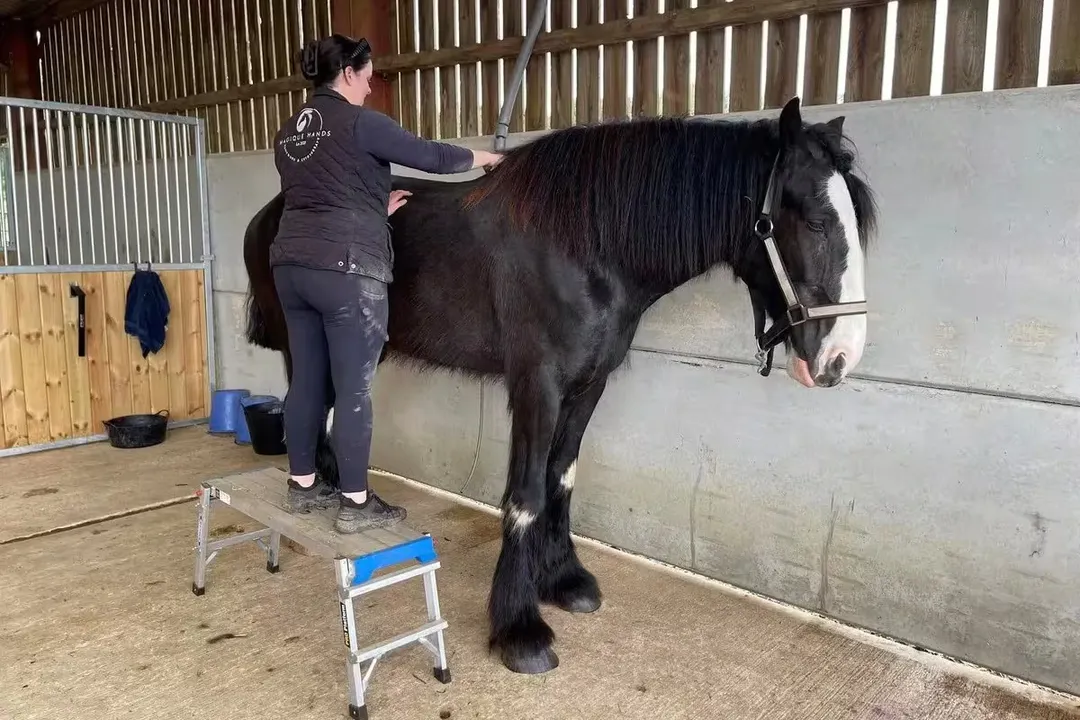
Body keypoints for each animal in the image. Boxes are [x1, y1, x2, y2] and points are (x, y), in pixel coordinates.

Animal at [241, 96, 879, 675]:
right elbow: (525, 493)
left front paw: (564, 580)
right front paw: (519, 627)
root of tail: (267, 213)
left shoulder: (588, 385)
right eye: (815, 221)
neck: (586, 243)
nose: (841, 358)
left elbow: (562, 477)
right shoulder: (537, 385)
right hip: (309, 345)